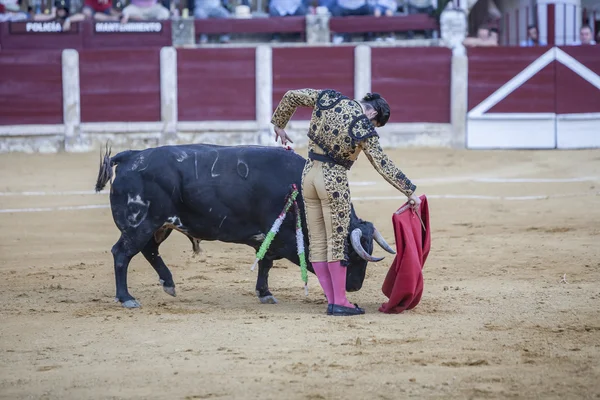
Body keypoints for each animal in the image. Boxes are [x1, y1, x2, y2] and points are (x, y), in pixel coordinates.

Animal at [94, 144, 396, 310]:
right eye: (351, 255)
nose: (354, 287)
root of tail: (131, 156)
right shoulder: (283, 237)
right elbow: (279, 261)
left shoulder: (270, 238)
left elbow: (265, 263)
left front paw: (265, 293)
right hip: (140, 224)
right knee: (122, 254)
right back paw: (126, 298)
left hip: (158, 225)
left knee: (149, 251)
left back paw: (168, 284)